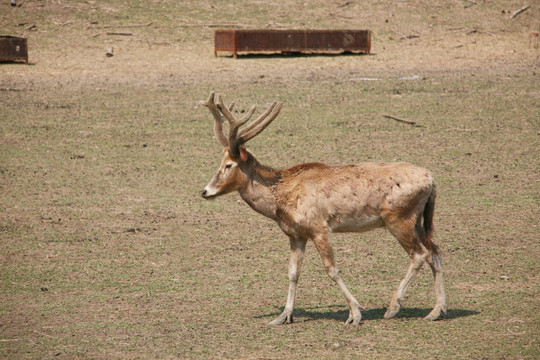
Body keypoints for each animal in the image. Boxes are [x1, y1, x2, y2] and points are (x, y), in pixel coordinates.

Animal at [200, 91, 446, 324]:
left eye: (228, 165)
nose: (205, 191)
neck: (281, 202)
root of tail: (431, 179)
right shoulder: (296, 234)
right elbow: (293, 273)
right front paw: (284, 316)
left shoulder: (320, 227)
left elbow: (332, 270)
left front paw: (355, 313)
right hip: (418, 220)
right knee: (435, 250)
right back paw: (436, 311)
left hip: (399, 218)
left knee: (420, 253)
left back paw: (393, 308)